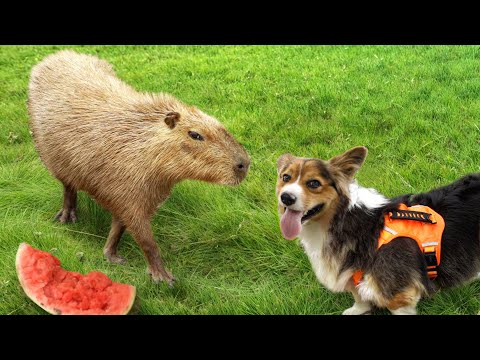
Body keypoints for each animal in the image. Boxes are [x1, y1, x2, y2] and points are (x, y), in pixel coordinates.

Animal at [276, 146, 480, 316]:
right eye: (286, 177)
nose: (285, 197)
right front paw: (357, 310)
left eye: (313, 183)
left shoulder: (399, 296)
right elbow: (359, 296)